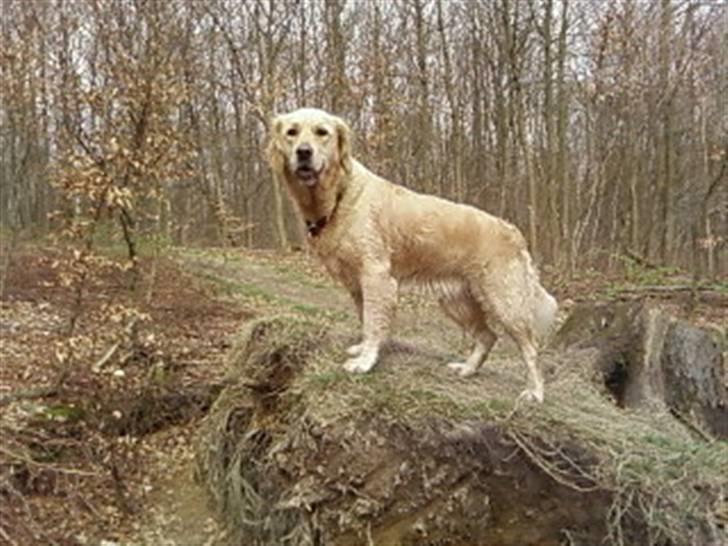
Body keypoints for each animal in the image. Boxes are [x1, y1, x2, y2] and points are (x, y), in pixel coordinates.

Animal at [268, 106, 556, 400]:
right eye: (291, 132)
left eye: (321, 132)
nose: (304, 152)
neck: (339, 194)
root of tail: (514, 232)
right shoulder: (357, 283)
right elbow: (364, 318)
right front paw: (363, 349)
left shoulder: (376, 276)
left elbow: (373, 321)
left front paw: (365, 361)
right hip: (457, 301)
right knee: (488, 336)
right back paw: (467, 369)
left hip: (505, 301)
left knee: (531, 349)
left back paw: (534, 392)